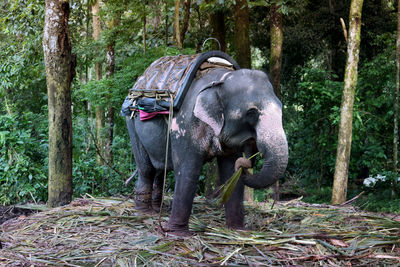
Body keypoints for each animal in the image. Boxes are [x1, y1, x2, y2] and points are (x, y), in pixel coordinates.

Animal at [125, 67, 288, 237]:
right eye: (251, 112)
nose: (249, 157)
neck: (221, 79)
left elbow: (230, 171)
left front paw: (237, 230)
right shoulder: (185, 124)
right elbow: (188, 170)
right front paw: (177, 234)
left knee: (159, 169)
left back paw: (157, 210)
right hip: (132, 122)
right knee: (147, 169)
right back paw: (144, 212)